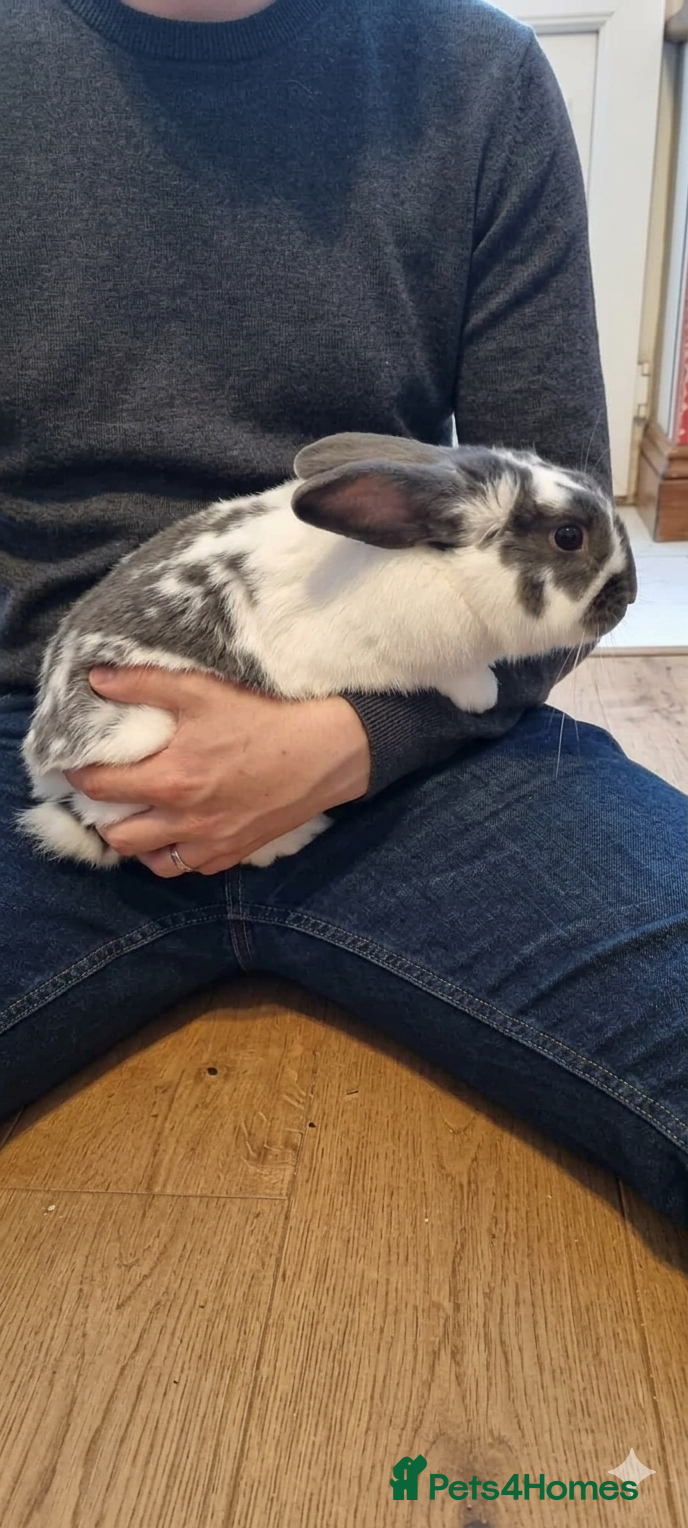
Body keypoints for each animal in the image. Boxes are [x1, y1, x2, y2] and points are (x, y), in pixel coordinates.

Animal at [17, 431, 636, 870]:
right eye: (568, 537)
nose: (628, 596)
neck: (443, 570)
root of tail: (46, 762)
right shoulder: (414, 657)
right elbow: (454, 674)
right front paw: (482, 694)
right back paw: (295, 837)